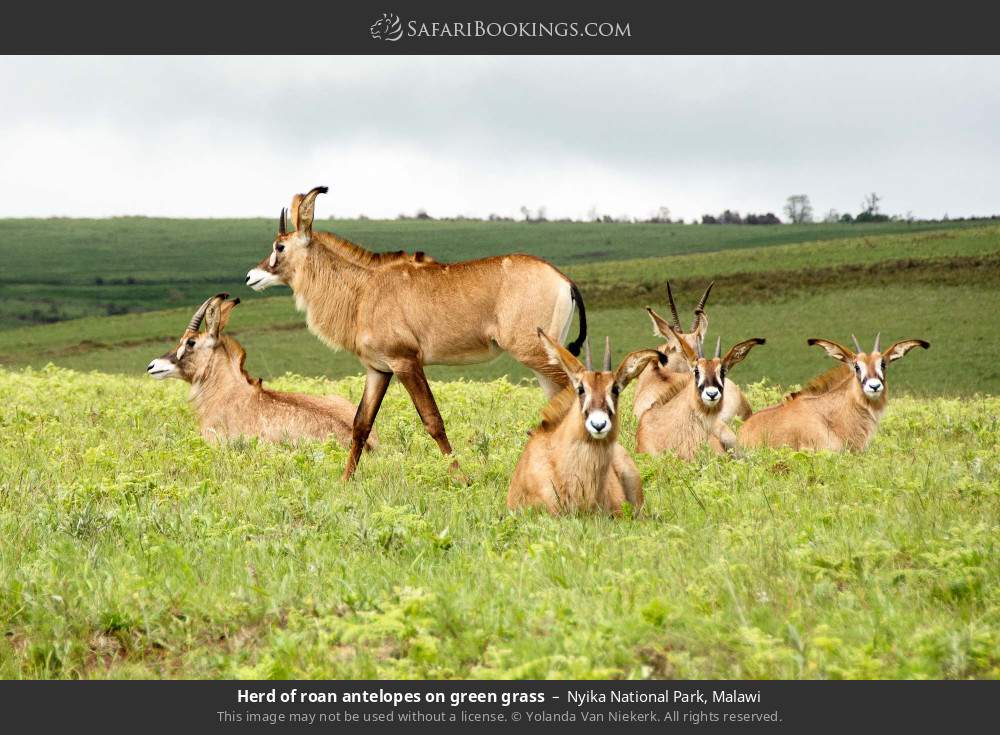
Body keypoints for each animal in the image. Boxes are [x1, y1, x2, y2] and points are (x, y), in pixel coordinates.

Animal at [246, 186, 587, 480]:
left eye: (279, 246)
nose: (250, 276)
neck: (364, 290)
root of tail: (563, 280)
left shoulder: (406, 362)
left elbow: (433, 420)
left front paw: (462, 478)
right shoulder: (378, 369)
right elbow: (361, 424)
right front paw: (345, 480)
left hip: (536, 355)